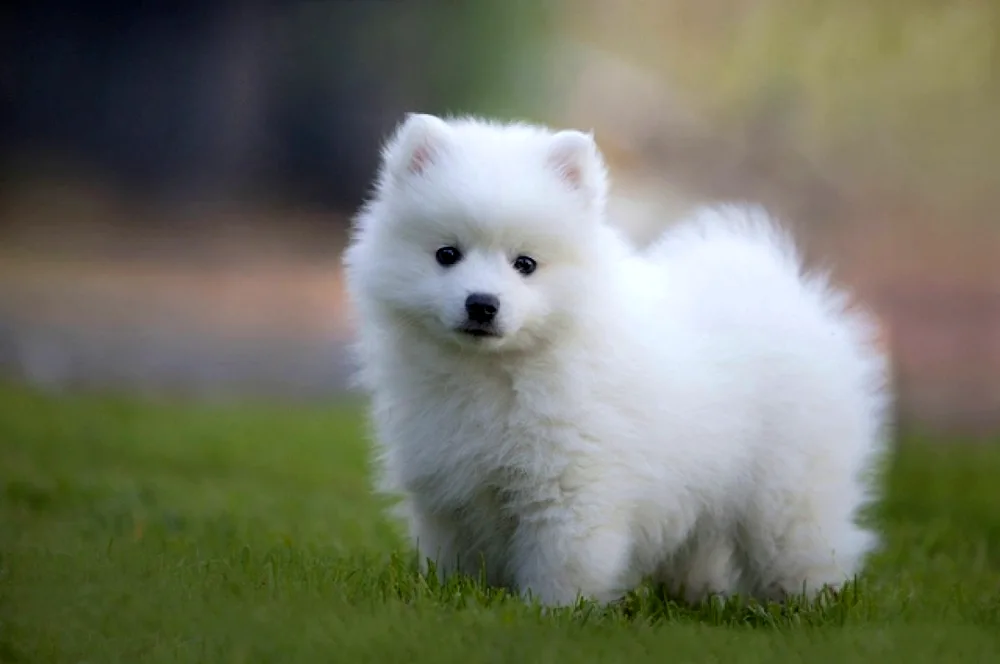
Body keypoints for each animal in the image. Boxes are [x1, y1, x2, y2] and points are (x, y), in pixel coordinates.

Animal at [344, 114, 892, 608]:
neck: (497, 372)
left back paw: (808, 603)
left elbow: (563, 563)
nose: (482, 304)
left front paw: (551, 613)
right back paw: (698, 598)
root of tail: (784, 290)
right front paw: (453, 599)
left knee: (803, 542)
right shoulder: (447, 492)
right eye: (446, 254)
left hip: (789, 487)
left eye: (526, 264)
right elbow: (457, 558)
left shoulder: (572, 486)